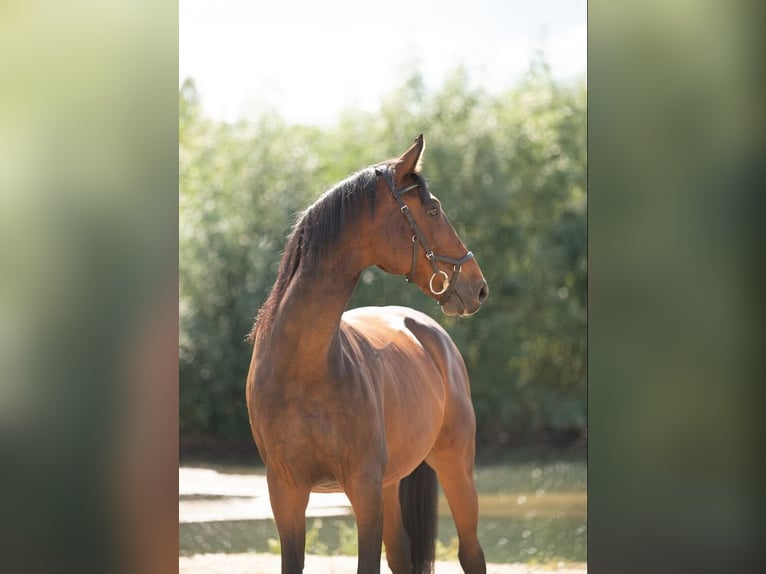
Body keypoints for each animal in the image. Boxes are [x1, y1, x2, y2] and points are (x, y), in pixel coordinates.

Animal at [246, 135, 489, 574]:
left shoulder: (364, 489)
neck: (303, 368)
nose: (478, 287)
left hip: (455, 465)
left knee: (471, 552)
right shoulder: (285, 491)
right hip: (393, 484)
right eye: (433, 209)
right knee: (402, 555)